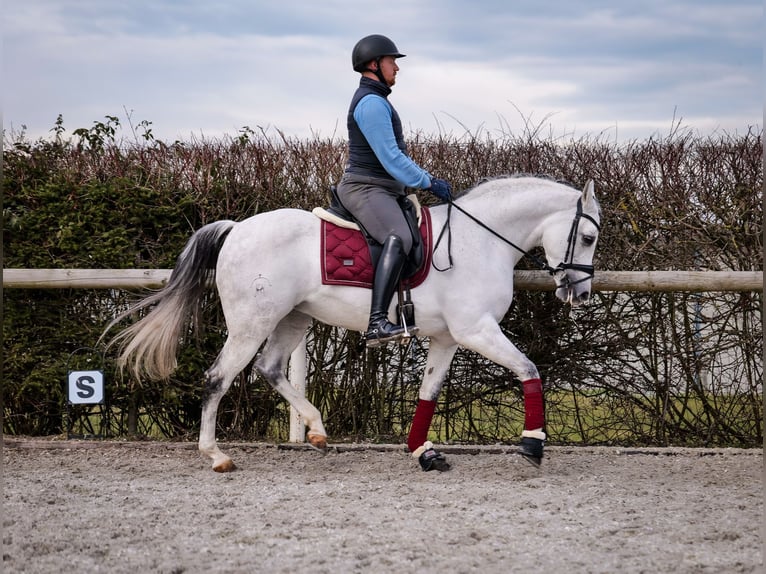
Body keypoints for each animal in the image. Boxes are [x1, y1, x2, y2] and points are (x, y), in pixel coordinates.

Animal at [105, 176, 604, 472]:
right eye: (588, 236)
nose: (579, 294)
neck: (478, 240)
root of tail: (237, 229)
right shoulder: (476, 330)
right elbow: (529, 369)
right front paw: (533, 444)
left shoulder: (448, 338)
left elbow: (428, 393)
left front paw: (423, 451)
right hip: (252, 322)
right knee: (218, 377)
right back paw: (216, 455)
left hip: (293, 319)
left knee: (269, 368)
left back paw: (317, 431)